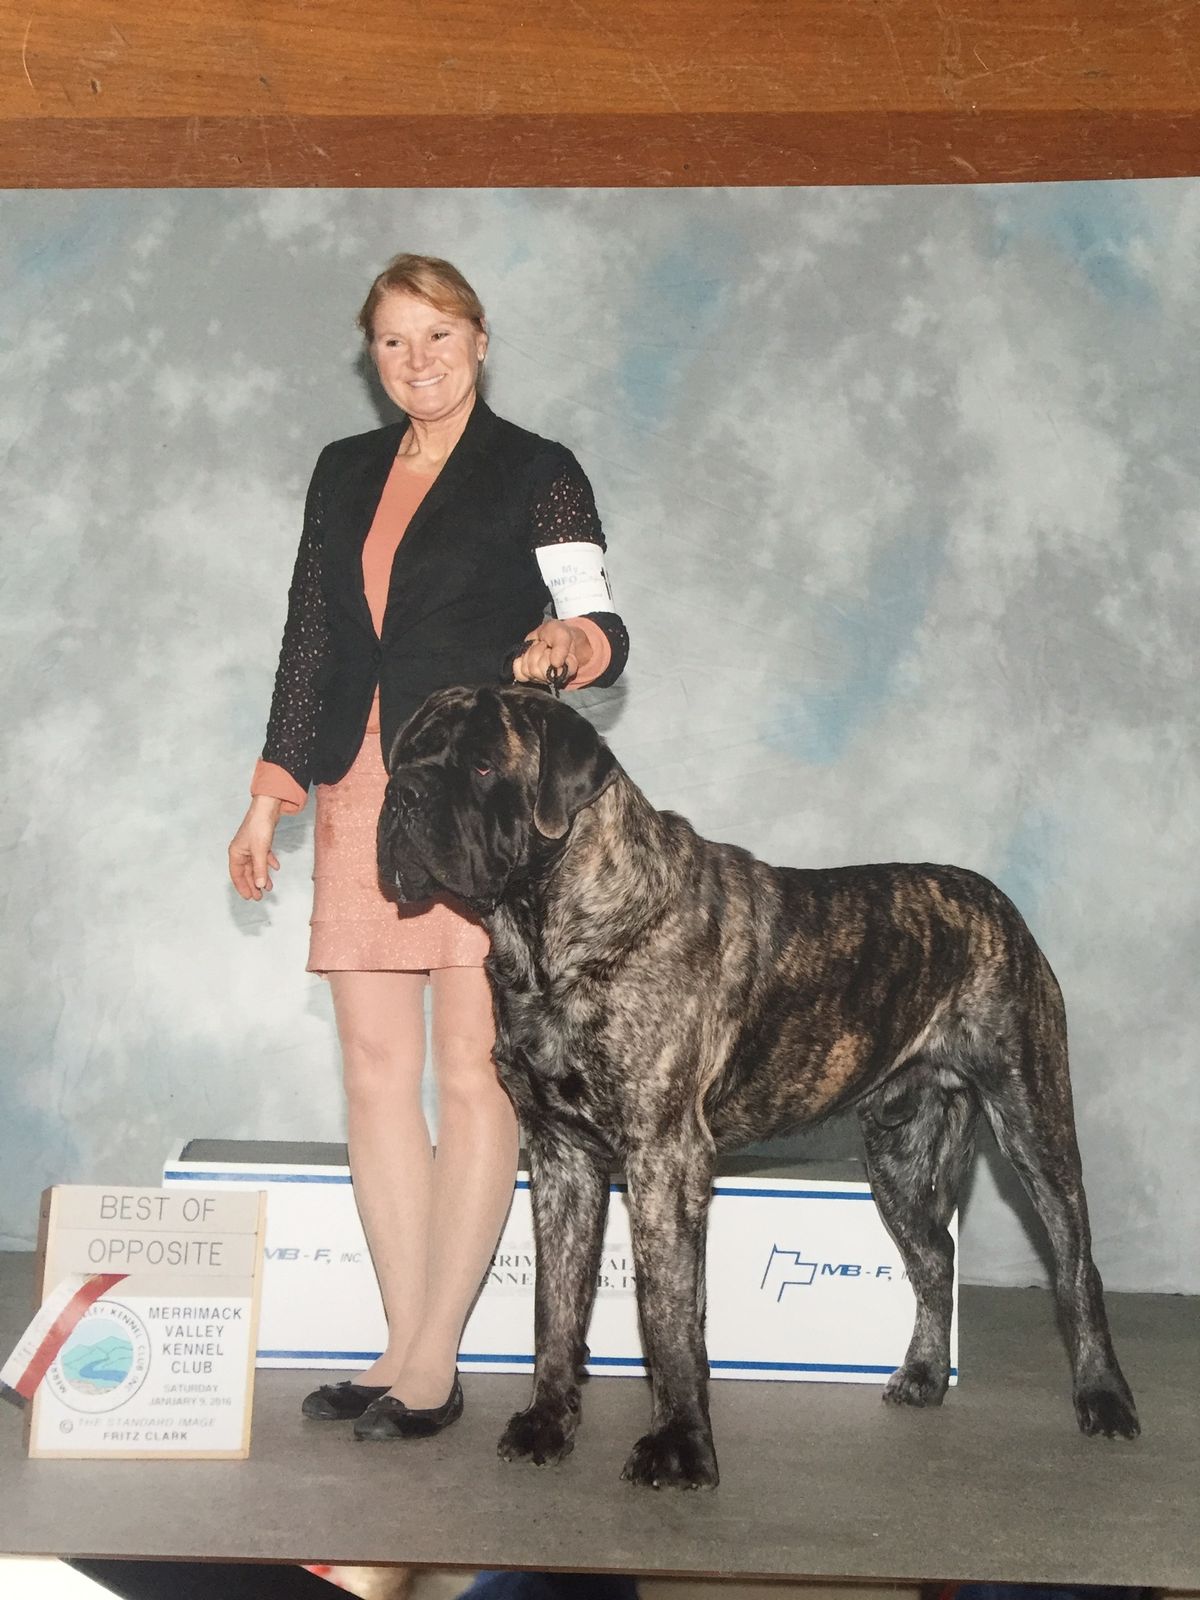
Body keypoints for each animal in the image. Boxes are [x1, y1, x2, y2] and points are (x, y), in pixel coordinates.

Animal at [377, 684, 1140, 1487]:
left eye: (482, 766)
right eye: (407, 756)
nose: (401, 794)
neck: (551, 939)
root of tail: (997, 904)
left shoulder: (663, 1155)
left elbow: (667, 1312)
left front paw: (679, 1448)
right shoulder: (562, 1158)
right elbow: (556, 1304)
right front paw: (547, 1424)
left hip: (1033, 1123)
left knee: (1076, 1267)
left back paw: (1105, 1399)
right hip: (898, 1154)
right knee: (934, 1259)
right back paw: (925, 1377)